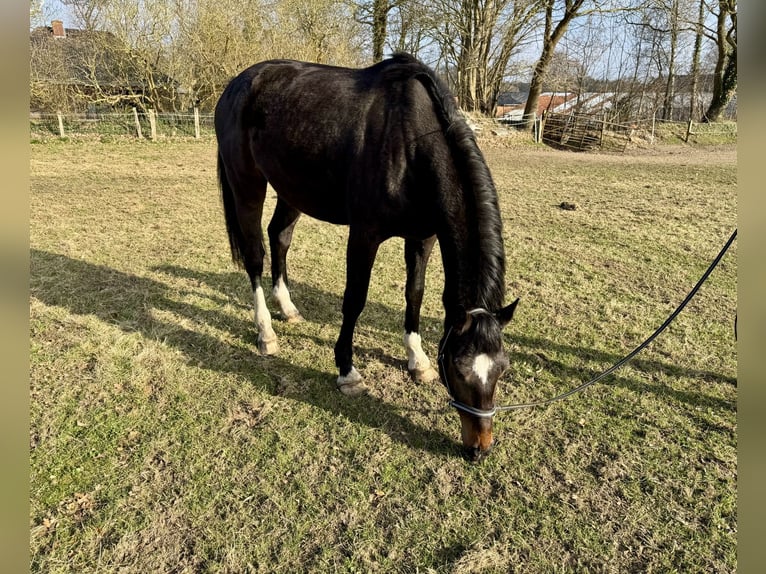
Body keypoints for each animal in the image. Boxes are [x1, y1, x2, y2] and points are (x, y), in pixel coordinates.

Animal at [214, 53, 519, 461]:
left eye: (501, 369)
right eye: (458, 368)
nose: (479, 449)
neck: (411, 142)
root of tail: (238, 84)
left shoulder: (423, 237)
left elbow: (414, 294)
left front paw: (417, 361)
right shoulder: (364, 235)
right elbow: (354, 300)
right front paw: (347, 372)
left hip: (292, 189)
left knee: (280, 237)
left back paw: (288, 308)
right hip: (247, 185)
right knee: (255, 256)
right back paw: (266, 332)